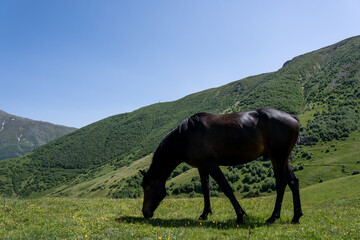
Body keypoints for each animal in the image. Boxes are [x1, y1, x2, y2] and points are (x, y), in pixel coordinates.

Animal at [141, 108, 304, 224]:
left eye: (147, 187)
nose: (145, 213)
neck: (186, 136)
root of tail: (292, 117)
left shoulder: (211, 165)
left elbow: (226, 188)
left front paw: (240, 215)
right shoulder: (202, 167)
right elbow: (205, 189)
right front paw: (204, 214)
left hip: (277, 157)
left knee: (281, 184)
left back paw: (273, 217)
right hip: (283, 158)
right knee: (293, 182)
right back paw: (296, 217)